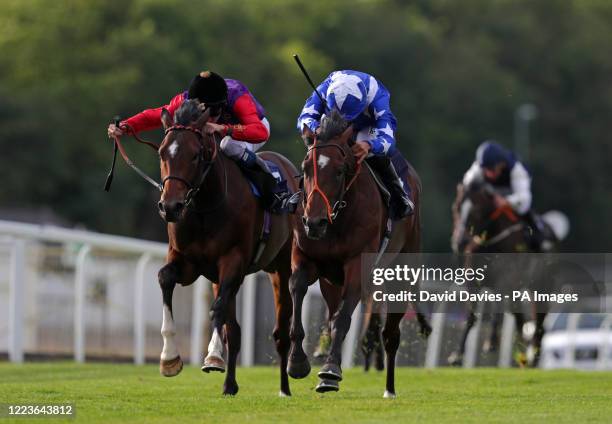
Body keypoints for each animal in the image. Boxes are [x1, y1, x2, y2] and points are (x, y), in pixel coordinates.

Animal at [155, 100, 298, 398]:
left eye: (195, 155)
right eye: (162, 152)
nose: (170, 206)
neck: (204, 206)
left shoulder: (233, 260)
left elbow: (216, 310)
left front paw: (211, 356)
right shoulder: (186, 261)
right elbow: (165, 277)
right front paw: (170, 359)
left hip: (280, 268)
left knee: (280, 331)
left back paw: (284, 387)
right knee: (235, 329)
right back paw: (229, 383)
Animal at [288, 110, 424, 398]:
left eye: (340, 171)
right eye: (305, 169)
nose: (314, 222)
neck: (337, 218)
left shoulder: (356, 266)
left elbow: (343, 318)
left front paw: (330, 371)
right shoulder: (306, 257)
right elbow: (297, 289)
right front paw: (297, 361)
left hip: (401, 269)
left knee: (391, 334)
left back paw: (389, 388)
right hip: (330, 280)